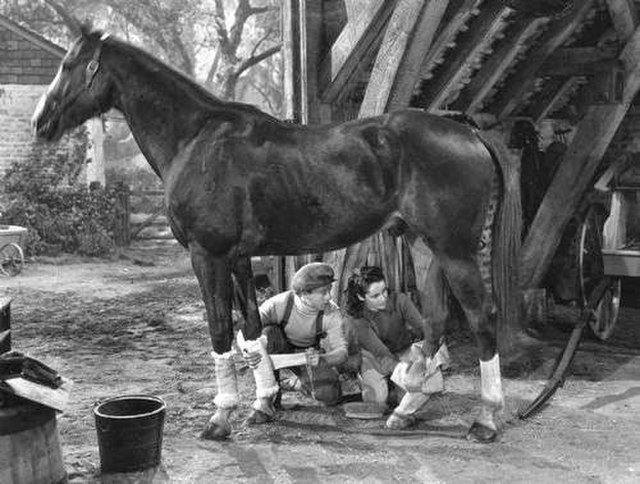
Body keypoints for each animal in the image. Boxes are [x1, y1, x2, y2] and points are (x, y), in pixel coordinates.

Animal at [32, 26, 520, 442]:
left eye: (70, 63)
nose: (41, 122)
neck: (196, 138)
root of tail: (469, 132)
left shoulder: (207, 254)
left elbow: (219, 330)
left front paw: (220, 417)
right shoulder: (238, 257)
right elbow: (250, 329)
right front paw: (263, 403)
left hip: (454, 250)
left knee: (482, 319)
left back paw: (486, 419)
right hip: (425, 246)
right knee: (435, 321)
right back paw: (405, 410)